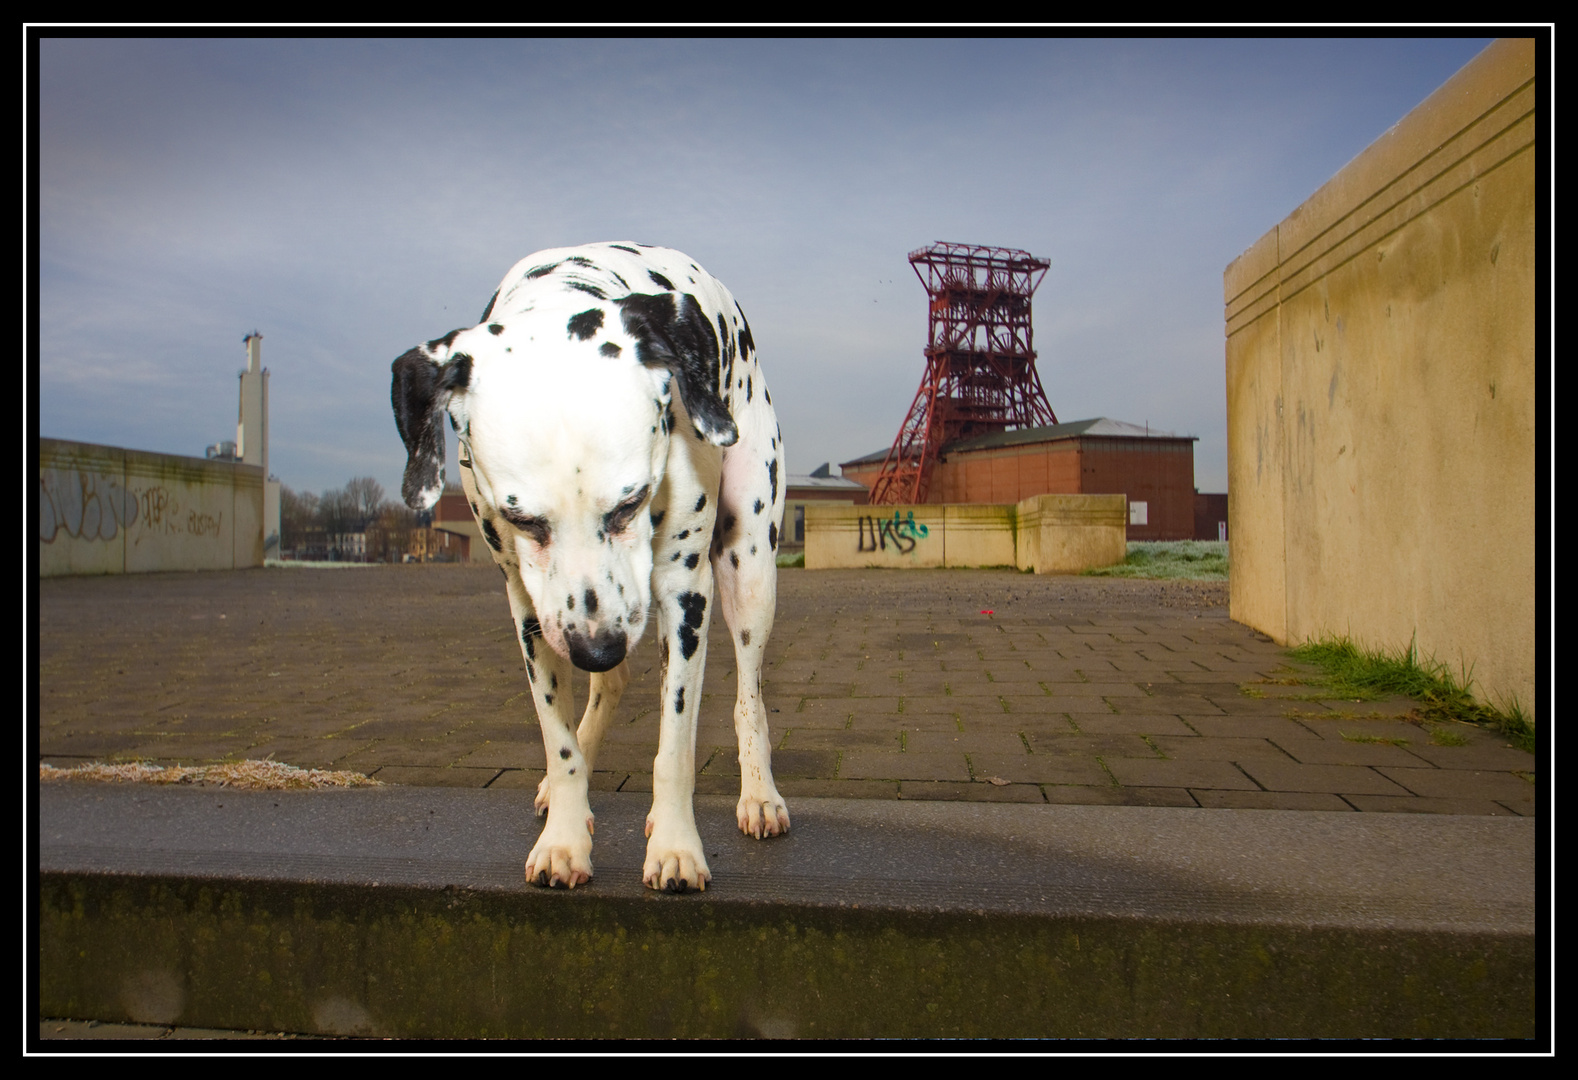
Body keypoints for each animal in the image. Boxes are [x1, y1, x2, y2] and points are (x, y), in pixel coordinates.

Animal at [391, 244, 789, 896]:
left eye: (633, 501)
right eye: (521, 519)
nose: (596, 648)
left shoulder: (686, 595)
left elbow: (675, 744)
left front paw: (676, 847)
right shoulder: (531, 611)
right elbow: (559, 742)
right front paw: (564, 838)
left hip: (749, 564)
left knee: (748, 694)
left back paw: (758, 794)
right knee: (613, 687)